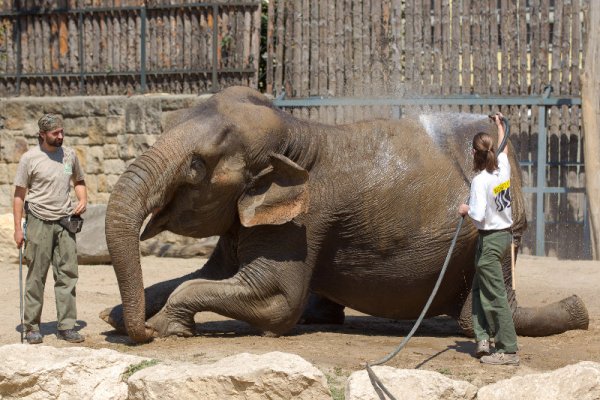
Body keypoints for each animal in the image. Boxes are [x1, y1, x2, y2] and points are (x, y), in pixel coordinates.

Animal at [101, 86, 588, 342]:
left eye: (196, 167)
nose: (138, 330)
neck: (297, 132)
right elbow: (205, 275)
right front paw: (118, 316)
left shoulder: (303, 222)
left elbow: (276, 301)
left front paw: (161, 327)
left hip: (499, 233)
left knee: (475, 316)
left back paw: (577, 311)